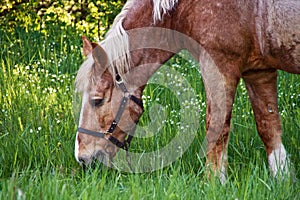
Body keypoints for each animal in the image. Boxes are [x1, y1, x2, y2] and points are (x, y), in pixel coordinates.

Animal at [74, 0, 298, 182]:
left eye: (97, 100)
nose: (82, 158)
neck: (185, 7)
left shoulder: (218, 66)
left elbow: (217, 128)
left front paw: (214, 182)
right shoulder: (260, 72)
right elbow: (268, 127)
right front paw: (283, 179)